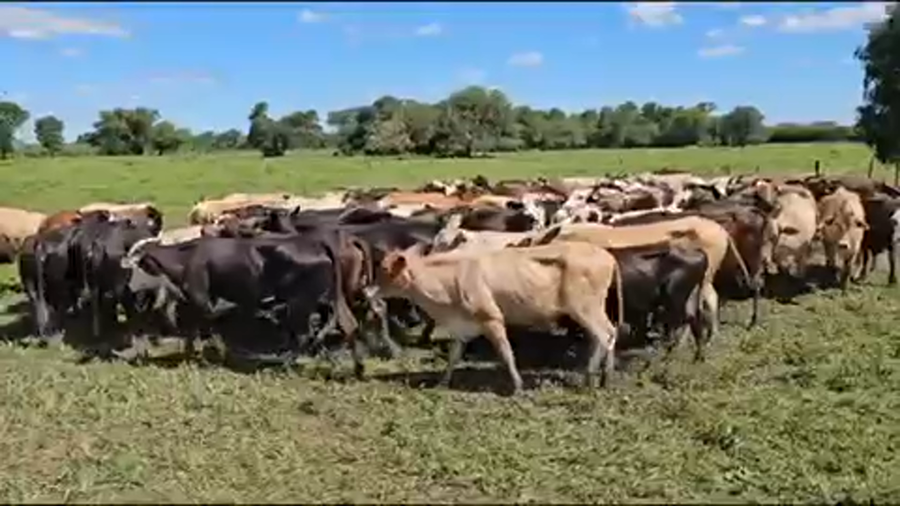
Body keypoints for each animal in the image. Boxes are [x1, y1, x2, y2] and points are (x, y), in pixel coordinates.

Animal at [370, 240, 624, 395]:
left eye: (385, 270)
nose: (367, 290)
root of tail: (607, 255)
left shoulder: (492, 319)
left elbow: (506, 353)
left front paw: (518, 386)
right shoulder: (463, 327)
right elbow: (453, 356)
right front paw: (442, 383)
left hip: (585, 308)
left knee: (605, 335)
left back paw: (593, 377)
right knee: (605, 336)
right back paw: (603, 378)